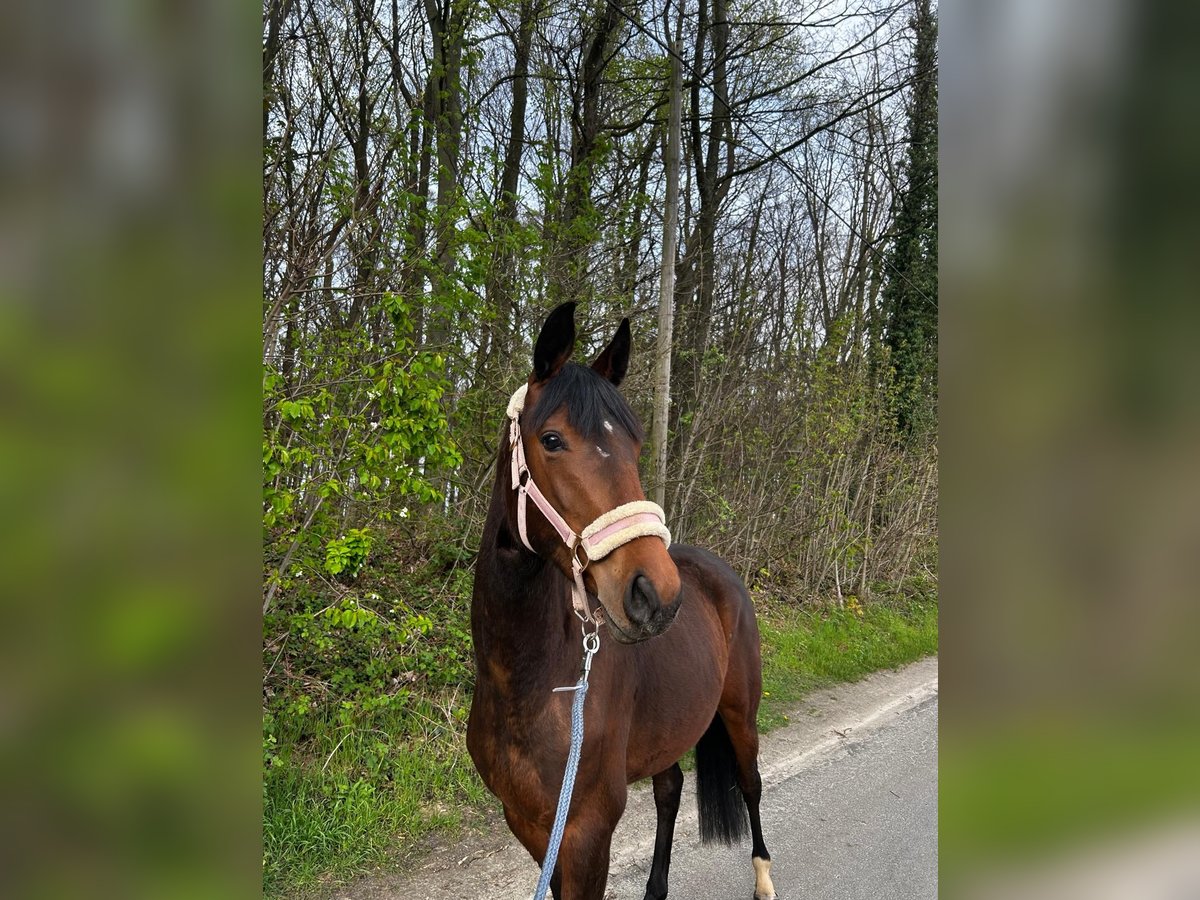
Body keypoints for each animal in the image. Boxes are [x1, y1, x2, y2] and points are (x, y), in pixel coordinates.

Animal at [463, 304, 772, 900]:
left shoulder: (587, 829)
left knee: (751, 785)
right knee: (670, 790)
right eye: (552, 439)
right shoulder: (531, 824)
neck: (527, 681)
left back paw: (765, 879)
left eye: (635, 445)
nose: (657, 593)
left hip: (740, 714)